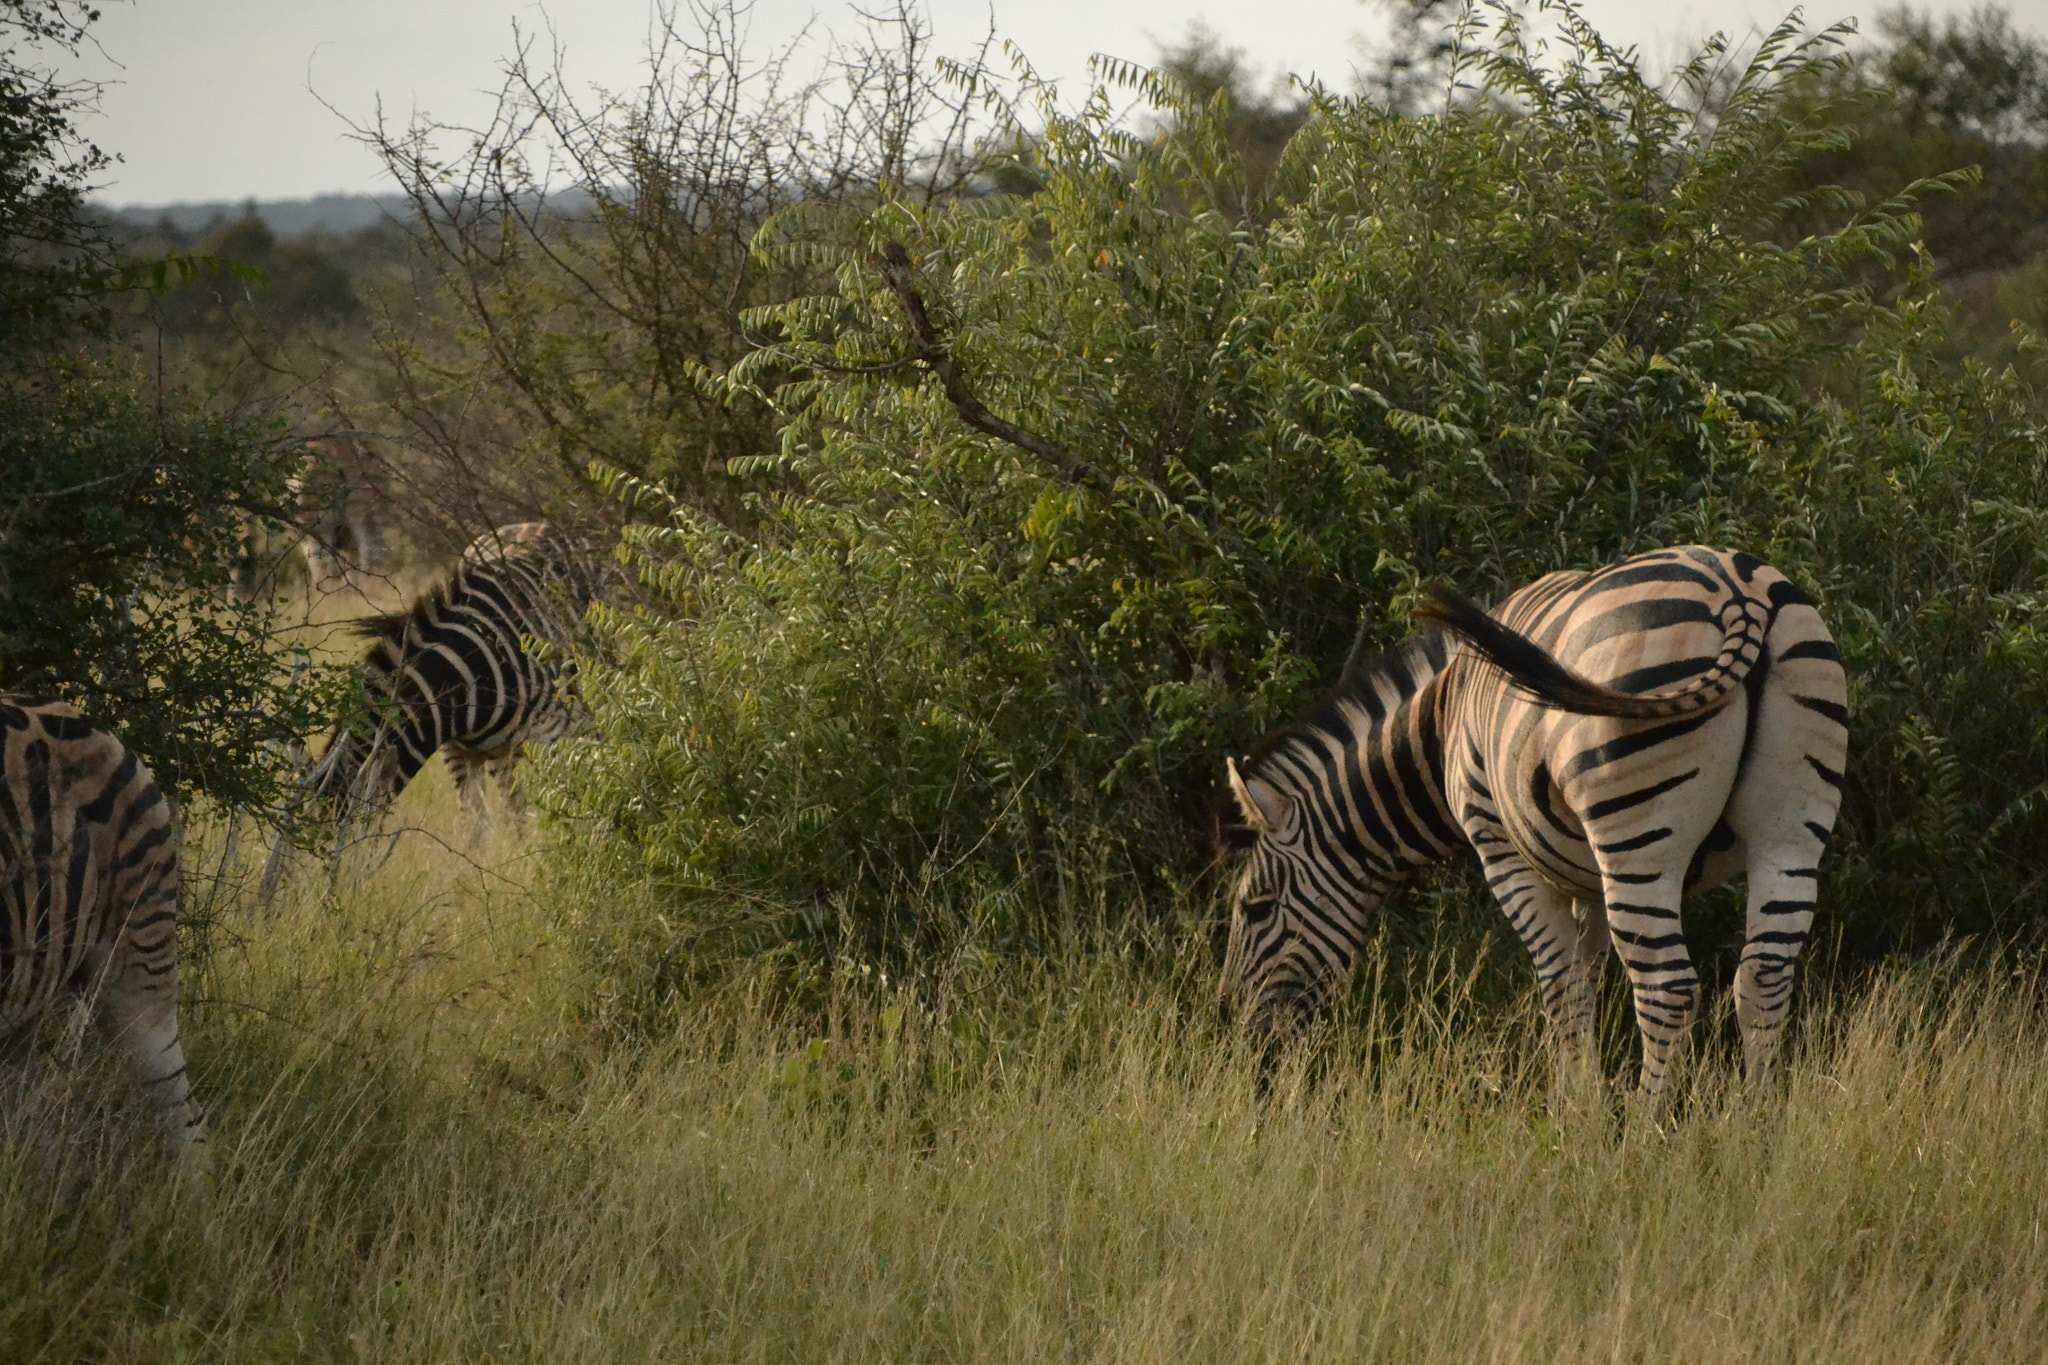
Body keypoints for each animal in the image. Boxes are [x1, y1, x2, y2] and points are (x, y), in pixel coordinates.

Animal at [1220, 544, 1851, 1096]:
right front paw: (1583, 1096)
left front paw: (1577, 1114)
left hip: (1637, 835)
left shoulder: (1500, 849)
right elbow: (1586, 982)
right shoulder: (1588, 880)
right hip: (1791, 829)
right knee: (1764, 977)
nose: (1241, 1034)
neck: (1441, 726)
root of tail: (1734, 590)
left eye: (1256, 908)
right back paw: (1755, 1123)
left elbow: (1560, 988)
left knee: (1666, 991)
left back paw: (1644, 1134)